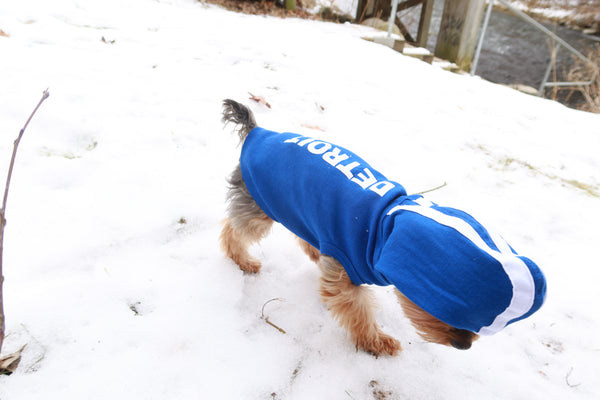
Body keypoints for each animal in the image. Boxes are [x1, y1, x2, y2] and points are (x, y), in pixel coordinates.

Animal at [218, 100, 548, 356]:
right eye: (446, 314)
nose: (464, 346)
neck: (383, 229)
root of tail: (258, 132)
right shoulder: (347, 272)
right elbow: (357, 309)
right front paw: (377, 342)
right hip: (258, 202)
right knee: (235, 229)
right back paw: (242, 260)